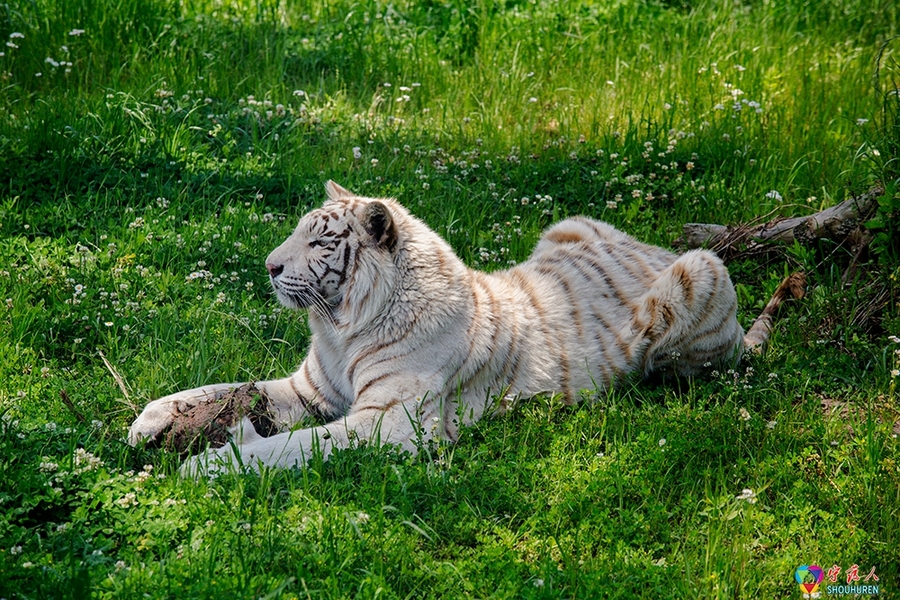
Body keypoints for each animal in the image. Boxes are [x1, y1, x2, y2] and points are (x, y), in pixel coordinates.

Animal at [128, 180, 744, 476]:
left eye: (320, 240)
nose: (269, 266)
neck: (340, 325)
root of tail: (651, 246)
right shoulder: (309, 389)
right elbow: (222, 389)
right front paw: (147, 423)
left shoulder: (392, 421)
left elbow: (289, 446)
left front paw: (204, 465)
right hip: (570, 223)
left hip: (704, 272)